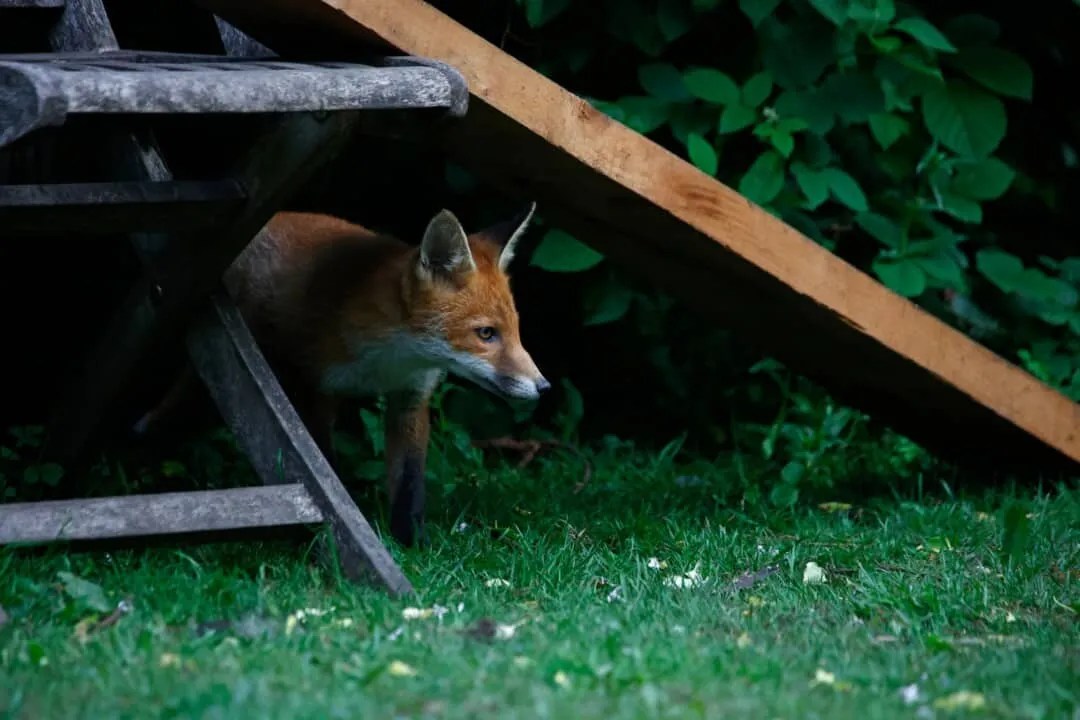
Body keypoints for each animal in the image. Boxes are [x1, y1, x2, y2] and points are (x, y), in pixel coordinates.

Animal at [136, 202, 549, 547]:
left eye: (515, 330)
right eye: (486, 334)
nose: (544, 387)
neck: (388, 361)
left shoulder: (410, 398)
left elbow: (409, 482)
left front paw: (412, 542)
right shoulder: (313, 389)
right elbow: (323, 469)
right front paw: (341, 526)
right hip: (228, 374)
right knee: (168, 417)